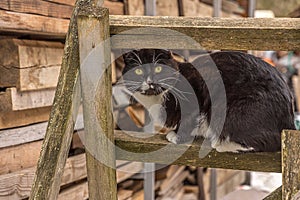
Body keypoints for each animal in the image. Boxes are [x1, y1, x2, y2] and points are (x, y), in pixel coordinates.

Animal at [120, 49, 294, 152]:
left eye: (158, 68)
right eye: (138, 70)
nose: (150, 81)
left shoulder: (198, 90)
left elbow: (190, 118)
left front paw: (177, 136)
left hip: (236, 111)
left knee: (268, 142)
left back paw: (222, 144)